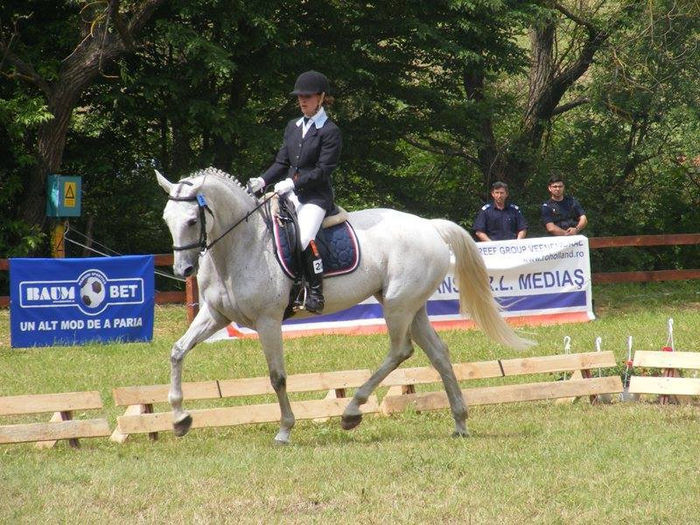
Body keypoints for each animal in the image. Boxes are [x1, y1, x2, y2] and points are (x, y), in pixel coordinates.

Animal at [156, 165, 532, 442]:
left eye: (192, 220)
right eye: (166, 219)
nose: (183, 270)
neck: (242, 245)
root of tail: (430, 226)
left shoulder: (268, 320)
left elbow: (277, 376)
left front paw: (285, 429)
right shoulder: (215, 315)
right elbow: (177, 352)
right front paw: (179, 419)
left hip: (397, 305)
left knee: (400, 350)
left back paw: (352, 411)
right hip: (412, 306)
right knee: (438, 353)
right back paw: (460, 422)